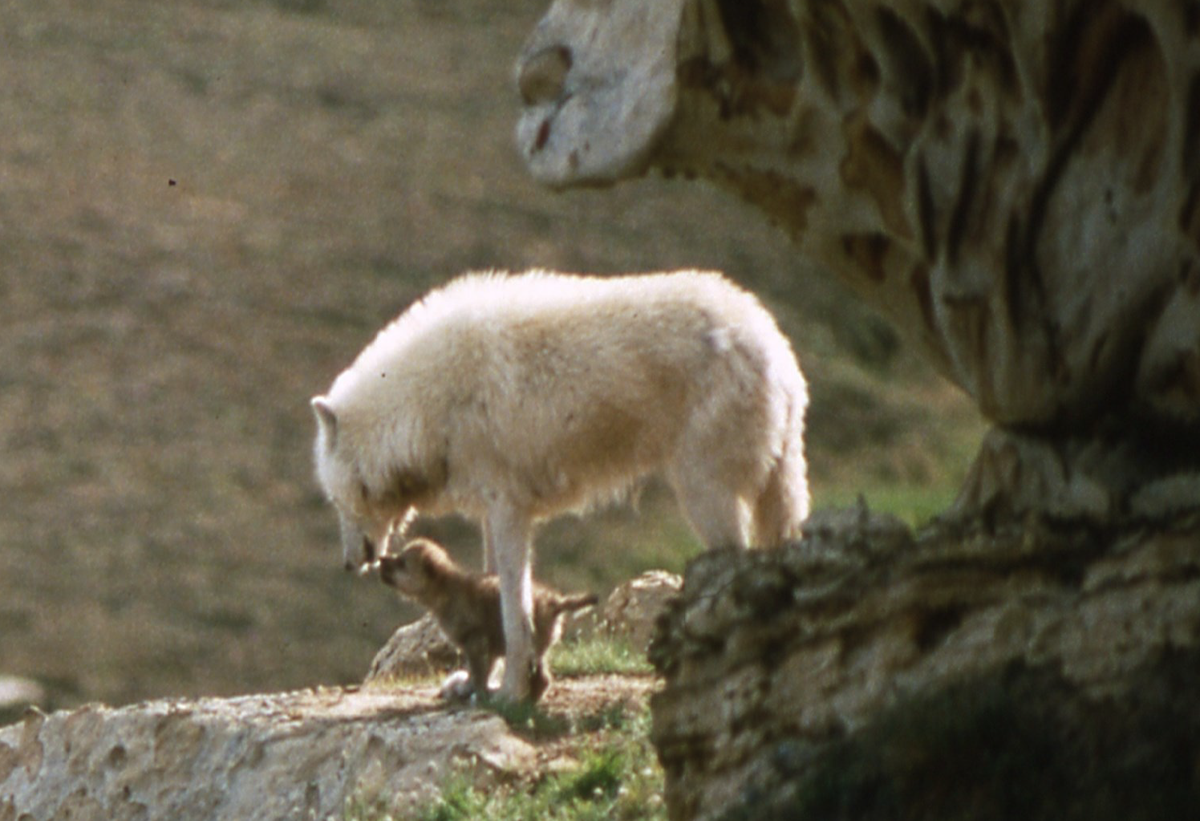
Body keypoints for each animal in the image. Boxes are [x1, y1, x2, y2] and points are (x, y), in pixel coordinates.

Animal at [379, 536, 597, 701]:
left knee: (541, 679)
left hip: (531, 646)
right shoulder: (487, 647)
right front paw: (469, 688)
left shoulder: (475, 641)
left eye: (401, 563)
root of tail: (554, 601)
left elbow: (478, 672)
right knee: (543, 678)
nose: (381, 559)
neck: (445, 589)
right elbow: (484, 670)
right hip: (538, 648)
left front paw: (476, 692)